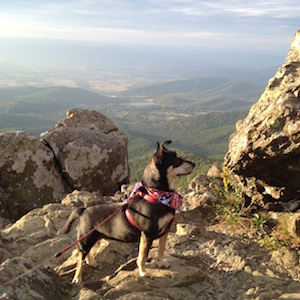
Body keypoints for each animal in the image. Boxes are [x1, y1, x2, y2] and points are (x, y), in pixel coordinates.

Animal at [57, 140, 196, 282]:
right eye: (177, 160)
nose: (194, 163)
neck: (157, 196)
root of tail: (84, 210)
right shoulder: (147, 234)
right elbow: (143, 257)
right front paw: (143, 273)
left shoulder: (165, 230)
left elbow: (161, 249)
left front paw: (161, 263)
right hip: (85, 238)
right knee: (80, 257)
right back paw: (77, 278)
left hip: (93, 236)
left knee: (87, 253)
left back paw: (92, 262)